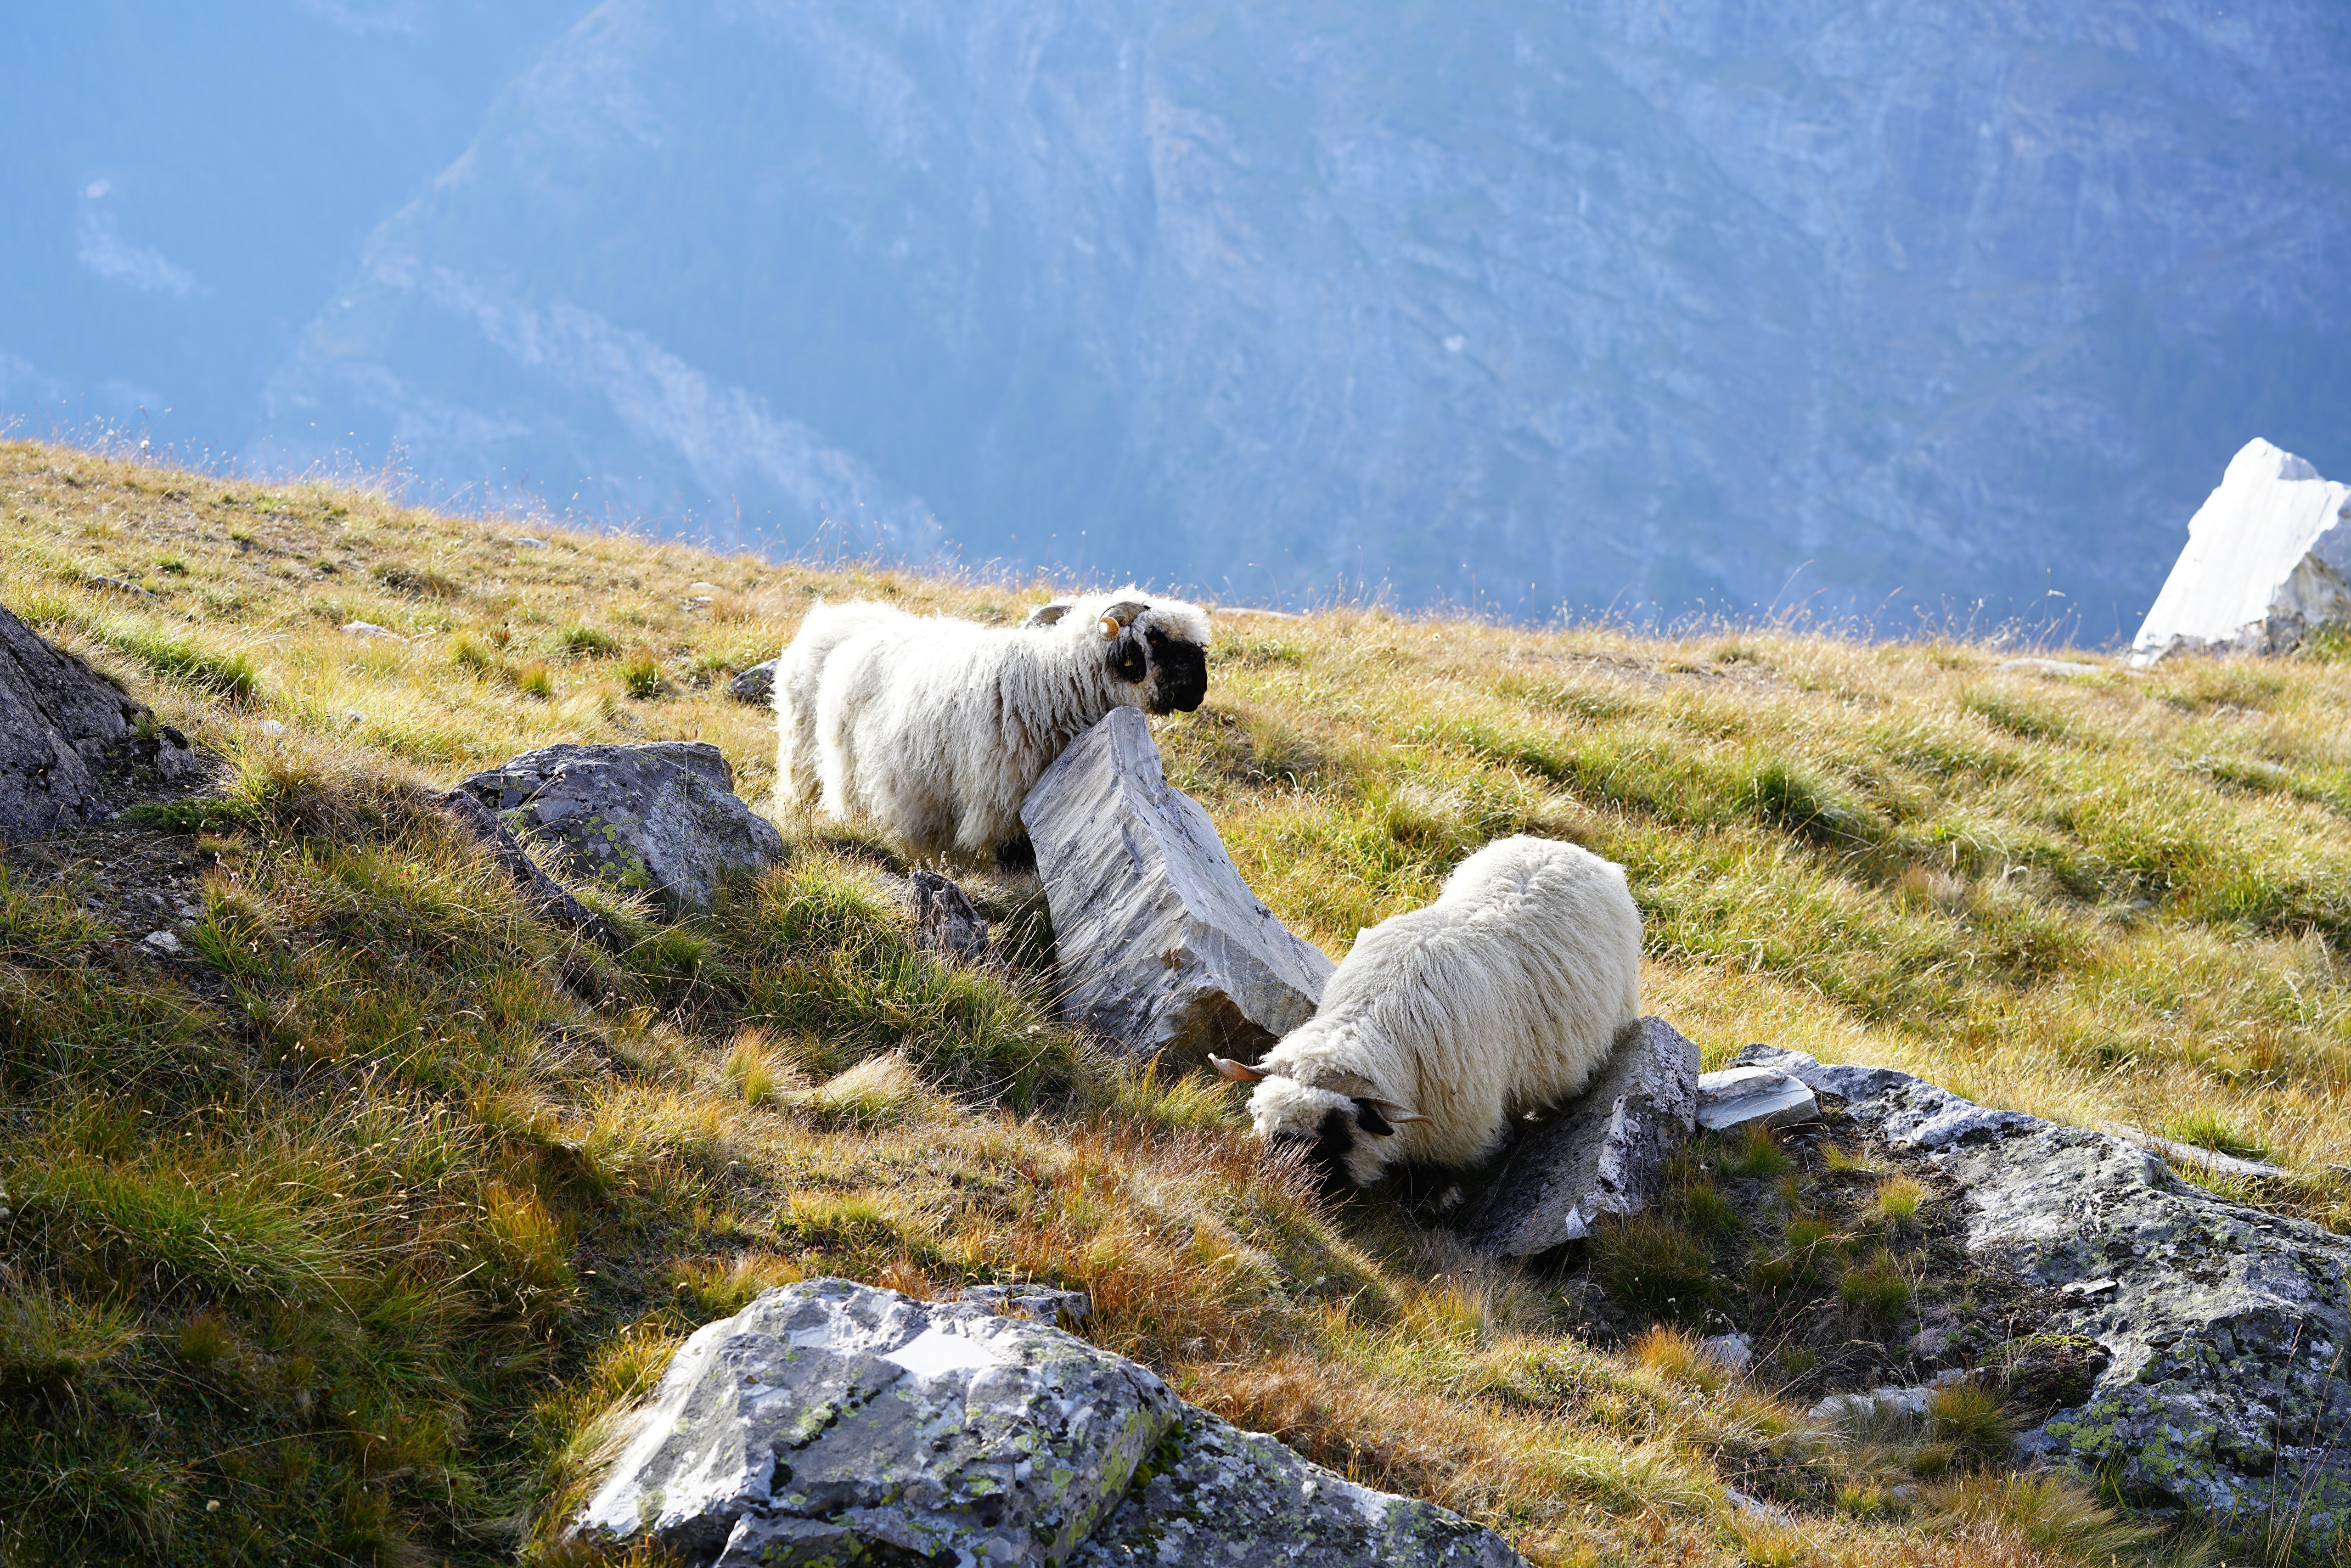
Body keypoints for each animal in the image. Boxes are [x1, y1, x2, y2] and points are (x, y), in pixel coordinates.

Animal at [783, 588, 1211, 866]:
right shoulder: (1002, 801)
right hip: (822, 761)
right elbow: (1014, 858)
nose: (1200, 690)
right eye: (1156, 638)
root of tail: (841, 618)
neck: (1053, 682)